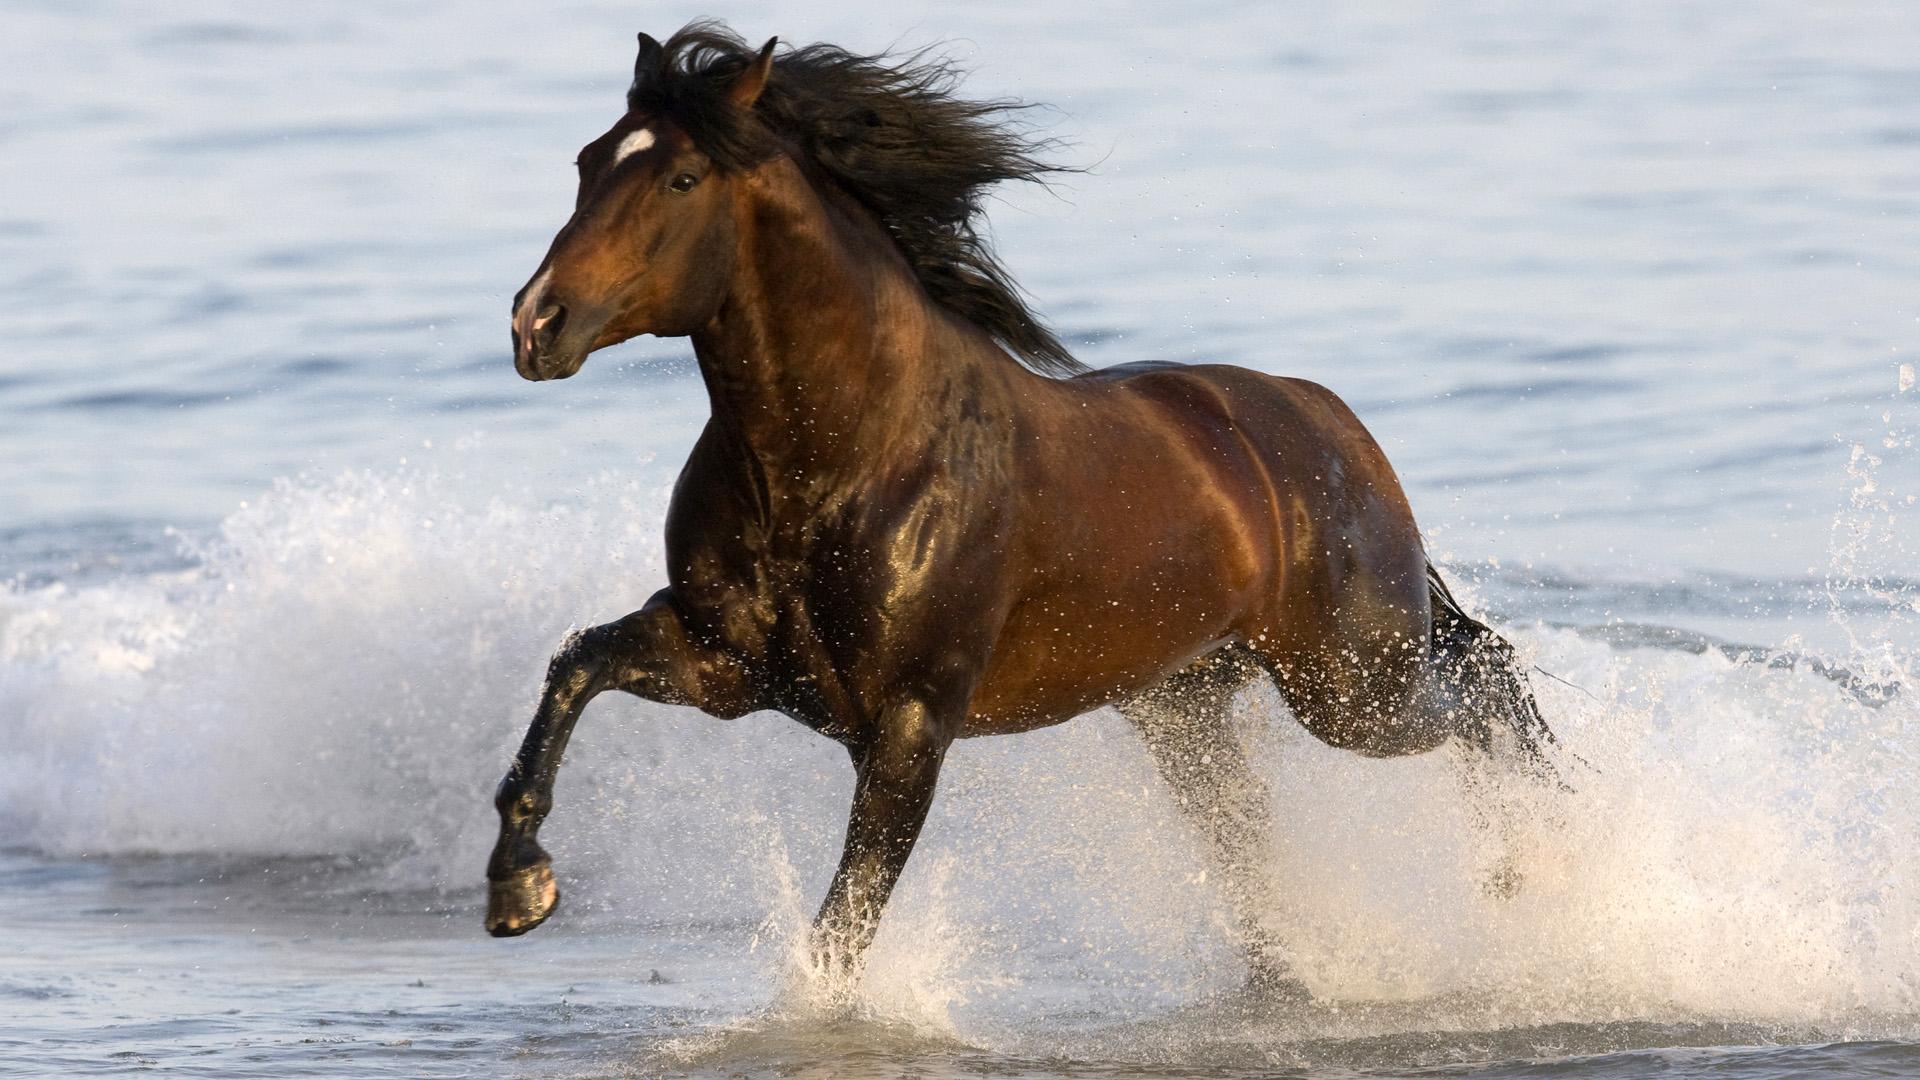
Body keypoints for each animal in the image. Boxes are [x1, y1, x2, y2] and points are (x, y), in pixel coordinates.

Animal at [487, 21, 1551, 991]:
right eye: (587, 162)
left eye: (681, 179)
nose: (537, 325)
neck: (847, 460)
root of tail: (1332, 422)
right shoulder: (727, 666)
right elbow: (577, 663)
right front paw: (518, 889)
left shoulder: (912, 723)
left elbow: (845, 926)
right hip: (1189, 706)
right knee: (1261, 827)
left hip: (1351, 683)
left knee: (1487, 685)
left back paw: (1526, 873)